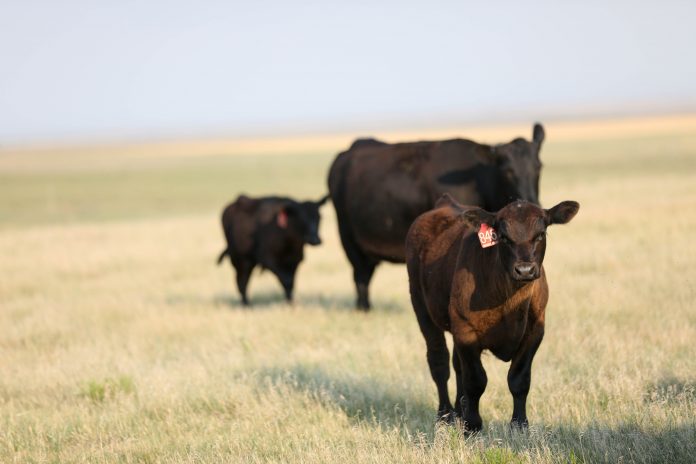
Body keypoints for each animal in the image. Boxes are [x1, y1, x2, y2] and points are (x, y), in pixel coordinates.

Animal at [328, 124, 545, 310]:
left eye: (538, 167)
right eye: (508, 171)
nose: (529, 201)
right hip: (348, 237)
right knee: (361, 276)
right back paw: (364, 309)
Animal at [405, 194, 578, 432]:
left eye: (540, 234)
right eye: (503, 237)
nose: (525, 270)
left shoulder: (535, 331)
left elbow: (519, 379)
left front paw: (519, 424)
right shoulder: (466, 331)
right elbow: (475, 380)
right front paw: (472, 425)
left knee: (457, 366)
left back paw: (459, 411)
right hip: (421, 307)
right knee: (439, 362)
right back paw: (445, 415)